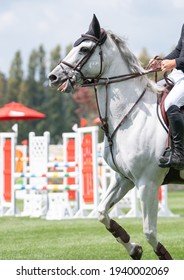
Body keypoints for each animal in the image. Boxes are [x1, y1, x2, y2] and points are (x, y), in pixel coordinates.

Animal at [47, 14, 183, 260]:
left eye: (83, 49)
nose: (53, 77)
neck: (131, 113)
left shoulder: (147, 183)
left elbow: (149, 231)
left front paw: (162, 255)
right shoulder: (124, 179)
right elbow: (101, 212)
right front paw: (134, 248)